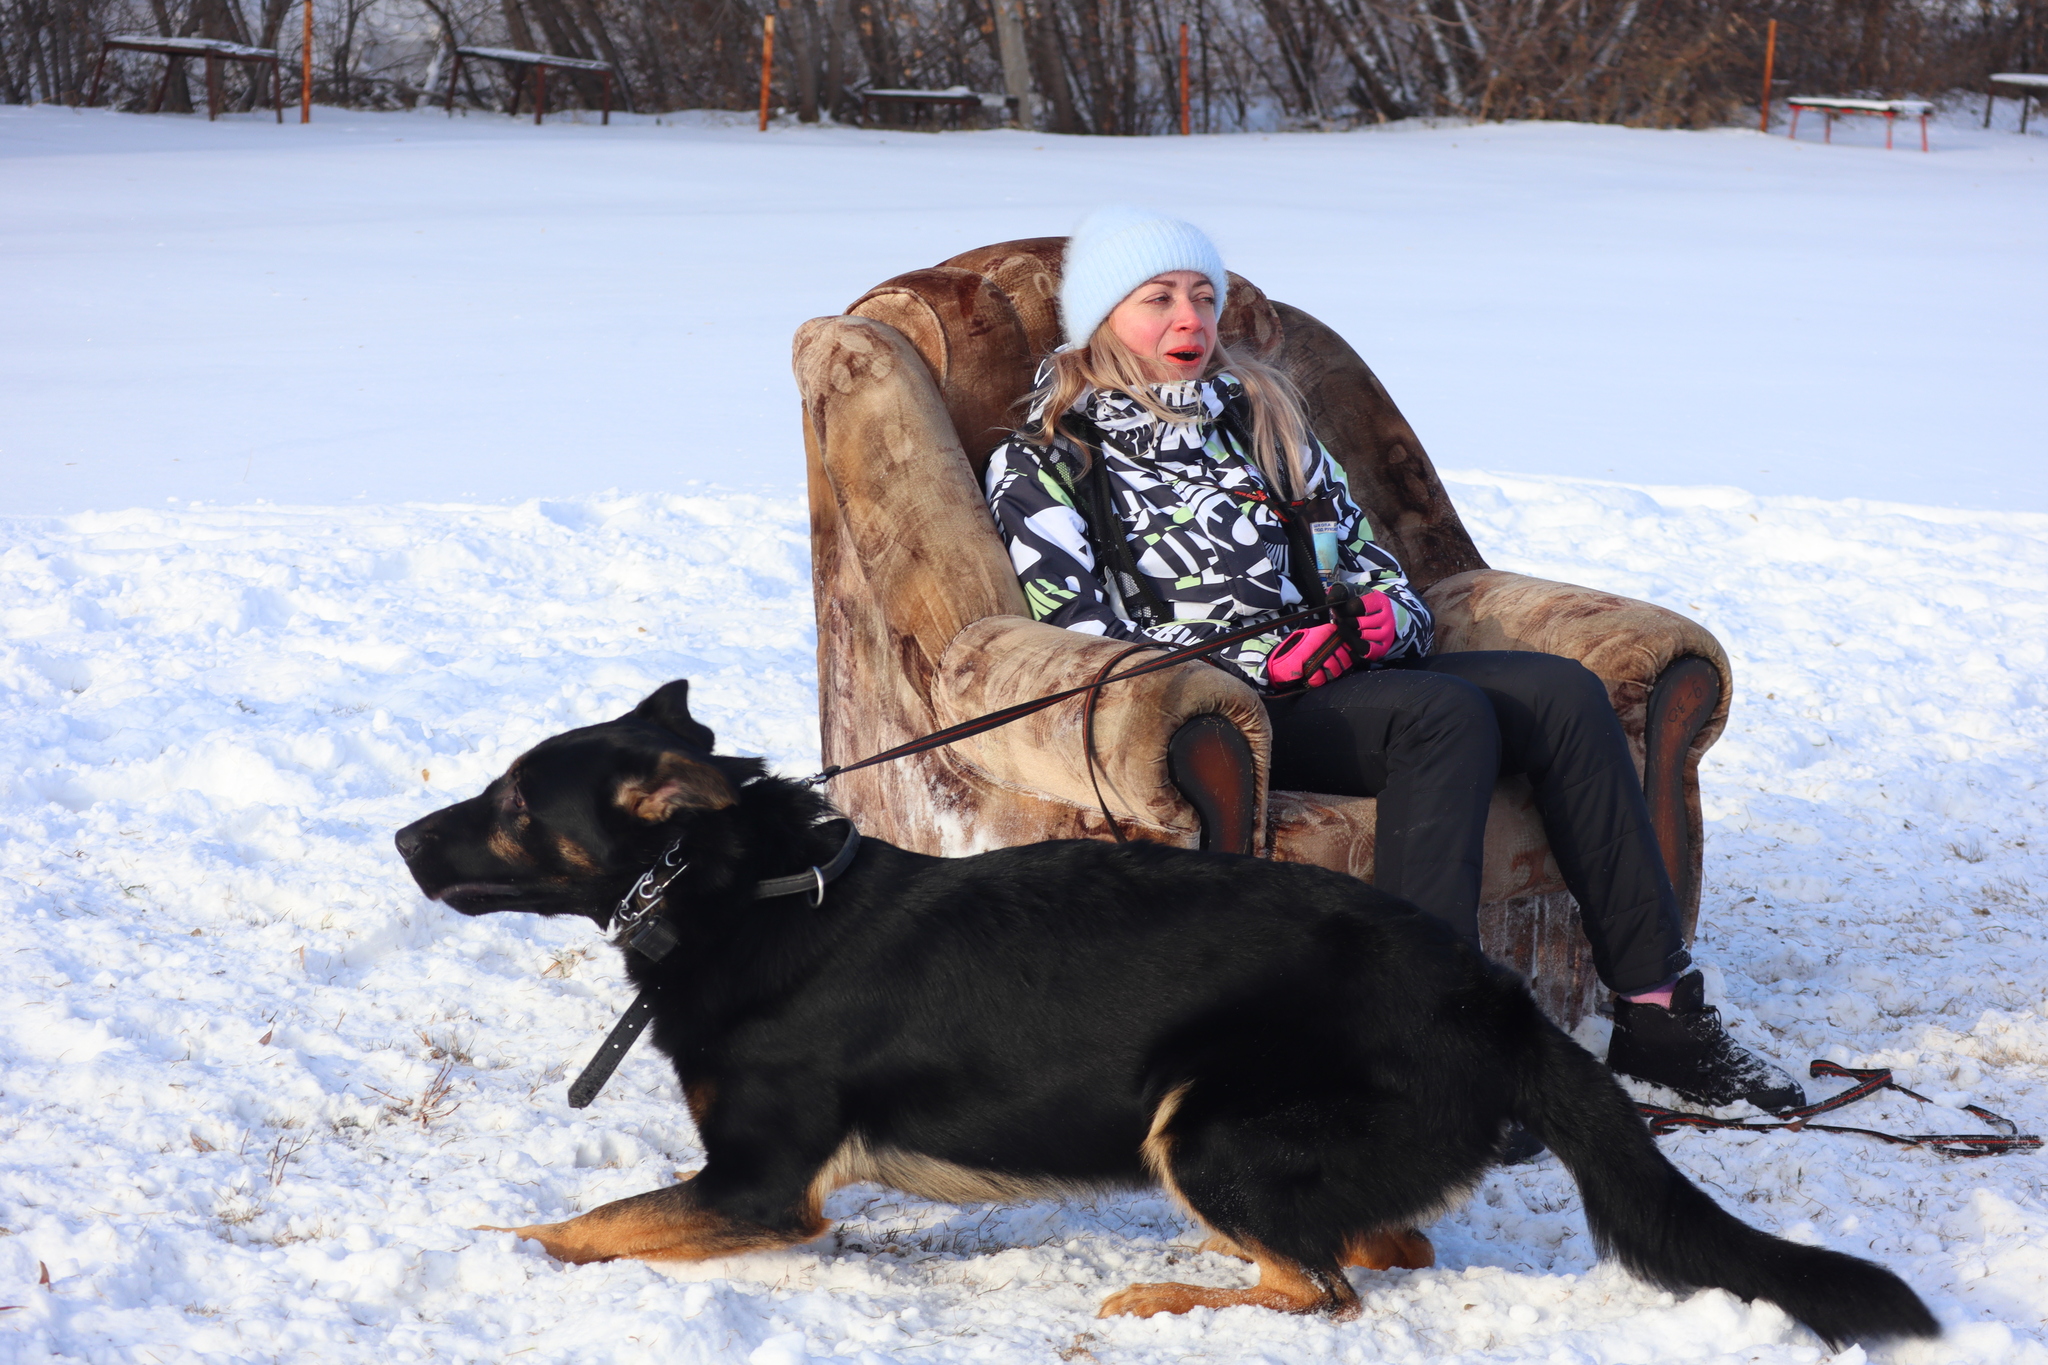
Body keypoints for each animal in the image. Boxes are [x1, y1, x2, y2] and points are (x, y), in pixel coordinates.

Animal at [395, 683, 1933, 1342]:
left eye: (518, 805)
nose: (404, 841)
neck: (732, 890)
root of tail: (1494, 993)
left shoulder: (762, 1191)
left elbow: (580, 1228)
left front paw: (488, 1250)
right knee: (1385, 1245)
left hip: (1200, 1130)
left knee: (1326, 1291)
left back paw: (1161, 1295)